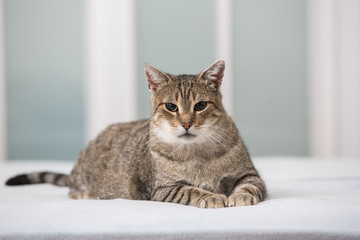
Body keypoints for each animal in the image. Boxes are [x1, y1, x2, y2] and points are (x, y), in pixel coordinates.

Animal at [4, 60, 268, 208]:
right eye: (171, 106)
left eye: (200, 105)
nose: (185, 123)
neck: (197, 153)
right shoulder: (163, 188)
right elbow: (190, 190)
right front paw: (212, 197)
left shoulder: (248, 174)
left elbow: (249, 187)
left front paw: (240, 196)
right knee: (72, 188)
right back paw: (84, 195)